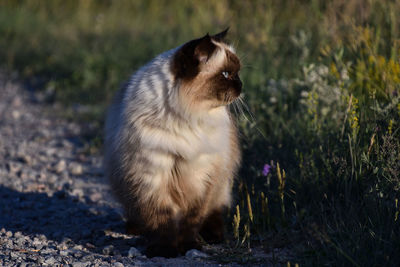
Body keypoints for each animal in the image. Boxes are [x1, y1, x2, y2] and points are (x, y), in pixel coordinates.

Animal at [104, 28, 241, 258]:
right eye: (225, 74)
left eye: (237, 73)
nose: (241, 85)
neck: (190, 116)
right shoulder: (151, 178)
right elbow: (162, 222)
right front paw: (166, 250)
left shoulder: (200, 177)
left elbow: (191, 221)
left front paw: (189, 246)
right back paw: (136, 229)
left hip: (220, 183)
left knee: (215, 211)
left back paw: (213, 236)